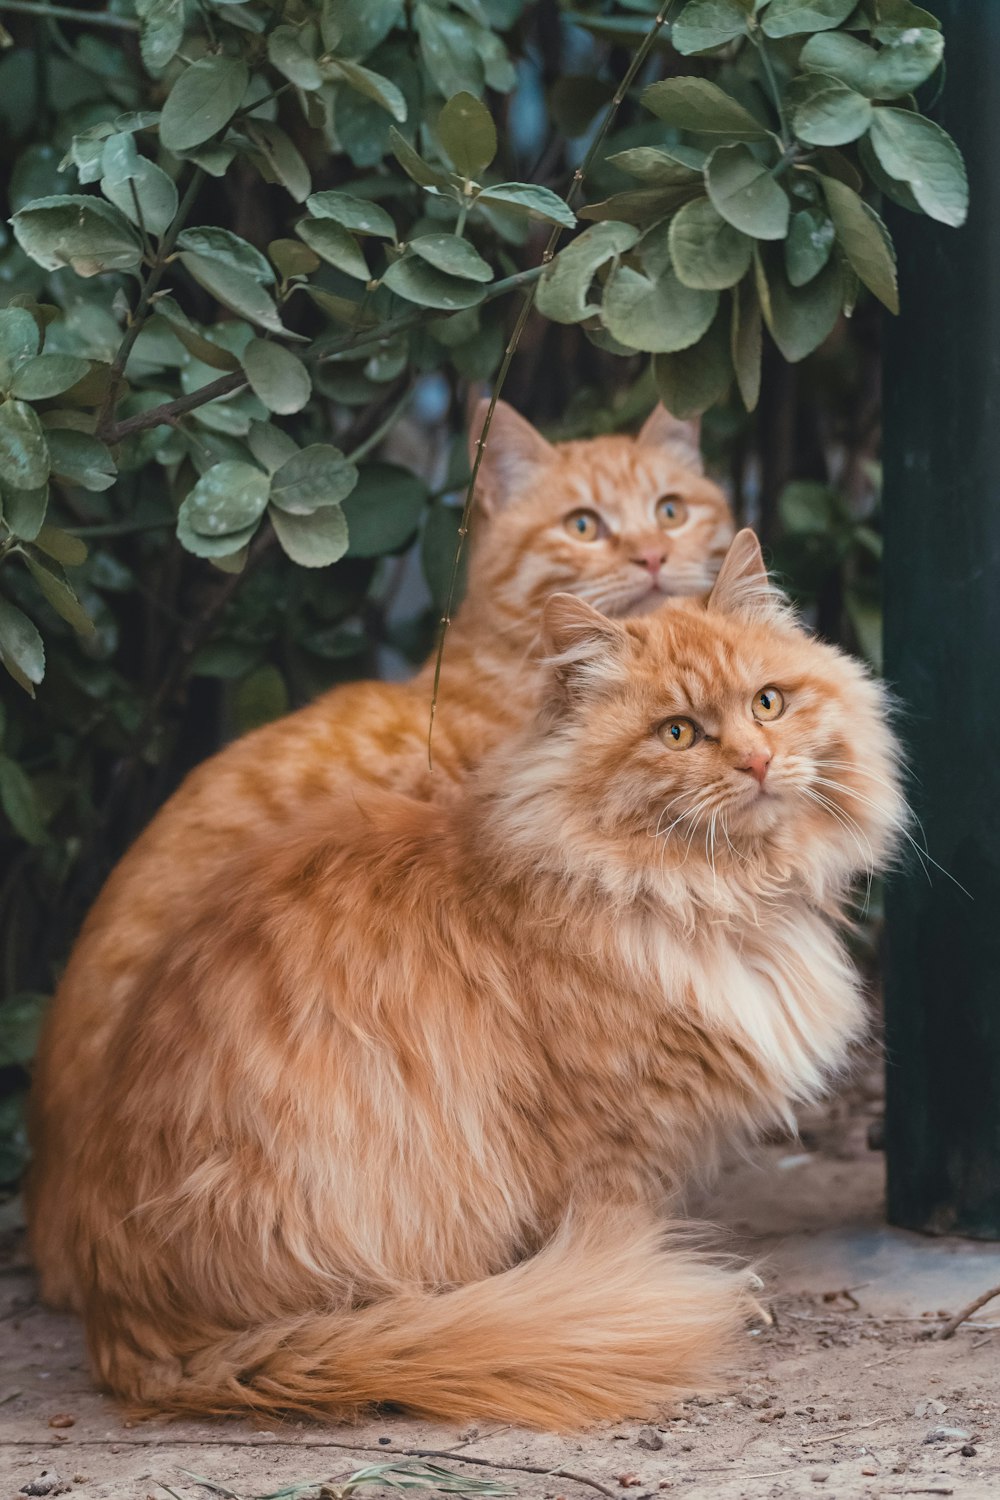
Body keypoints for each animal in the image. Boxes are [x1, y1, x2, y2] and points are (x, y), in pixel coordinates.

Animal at [31, 531, 905, 1428]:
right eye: (678, 734)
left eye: (768, 703)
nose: (760, 761)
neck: (710, 897)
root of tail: (123, 1328)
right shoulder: (609, 1146)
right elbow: (617, 1236)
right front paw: (640, 1292)